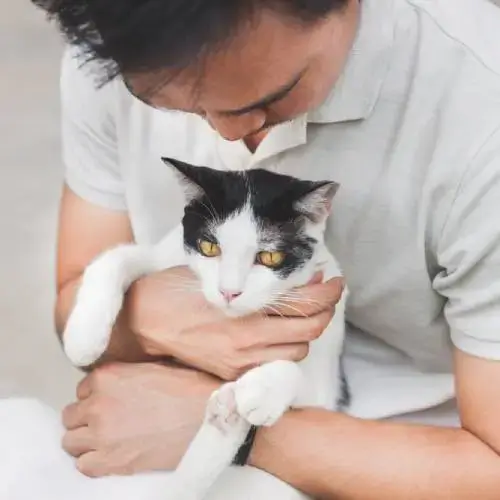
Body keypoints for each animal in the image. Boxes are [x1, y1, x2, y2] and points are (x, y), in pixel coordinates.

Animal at [62, 161, 348, 500]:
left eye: (269, 257)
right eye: (210, 247)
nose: (228, 292)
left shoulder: (327, 378)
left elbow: (304, 382)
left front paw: (261, 392)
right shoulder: (166, 257)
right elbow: (116, 258)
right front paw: (84, 336)